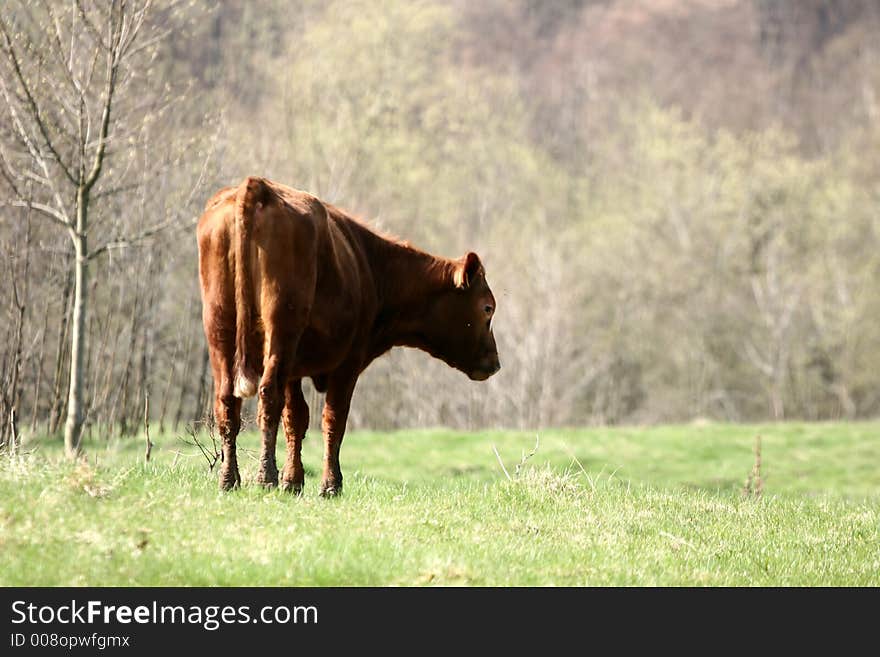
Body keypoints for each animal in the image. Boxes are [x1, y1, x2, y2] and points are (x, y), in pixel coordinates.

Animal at [199, 177, 502, 494]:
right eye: (487, 307)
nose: (494, 362)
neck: (371, 266)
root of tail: (259, 186)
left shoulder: (295, 369)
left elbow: (296, 417)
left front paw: (293, 481)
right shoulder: (348, 362)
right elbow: (334, 418)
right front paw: (330, 484)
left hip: (220, 326)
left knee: (227, 402)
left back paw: (229, 479)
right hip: (281, 329)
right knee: (269, 394)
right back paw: (265, 476)